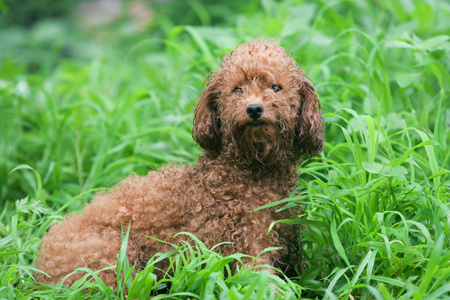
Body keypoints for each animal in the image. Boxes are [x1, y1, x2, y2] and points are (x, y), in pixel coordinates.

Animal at [35, 38, 324, 288]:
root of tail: (40, 268)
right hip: (111, 255)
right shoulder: (248, 244)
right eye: (237, 89)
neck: (252, 171)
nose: (253, 109)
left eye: (275, 87)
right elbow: (263, 282)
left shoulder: (287, 240)